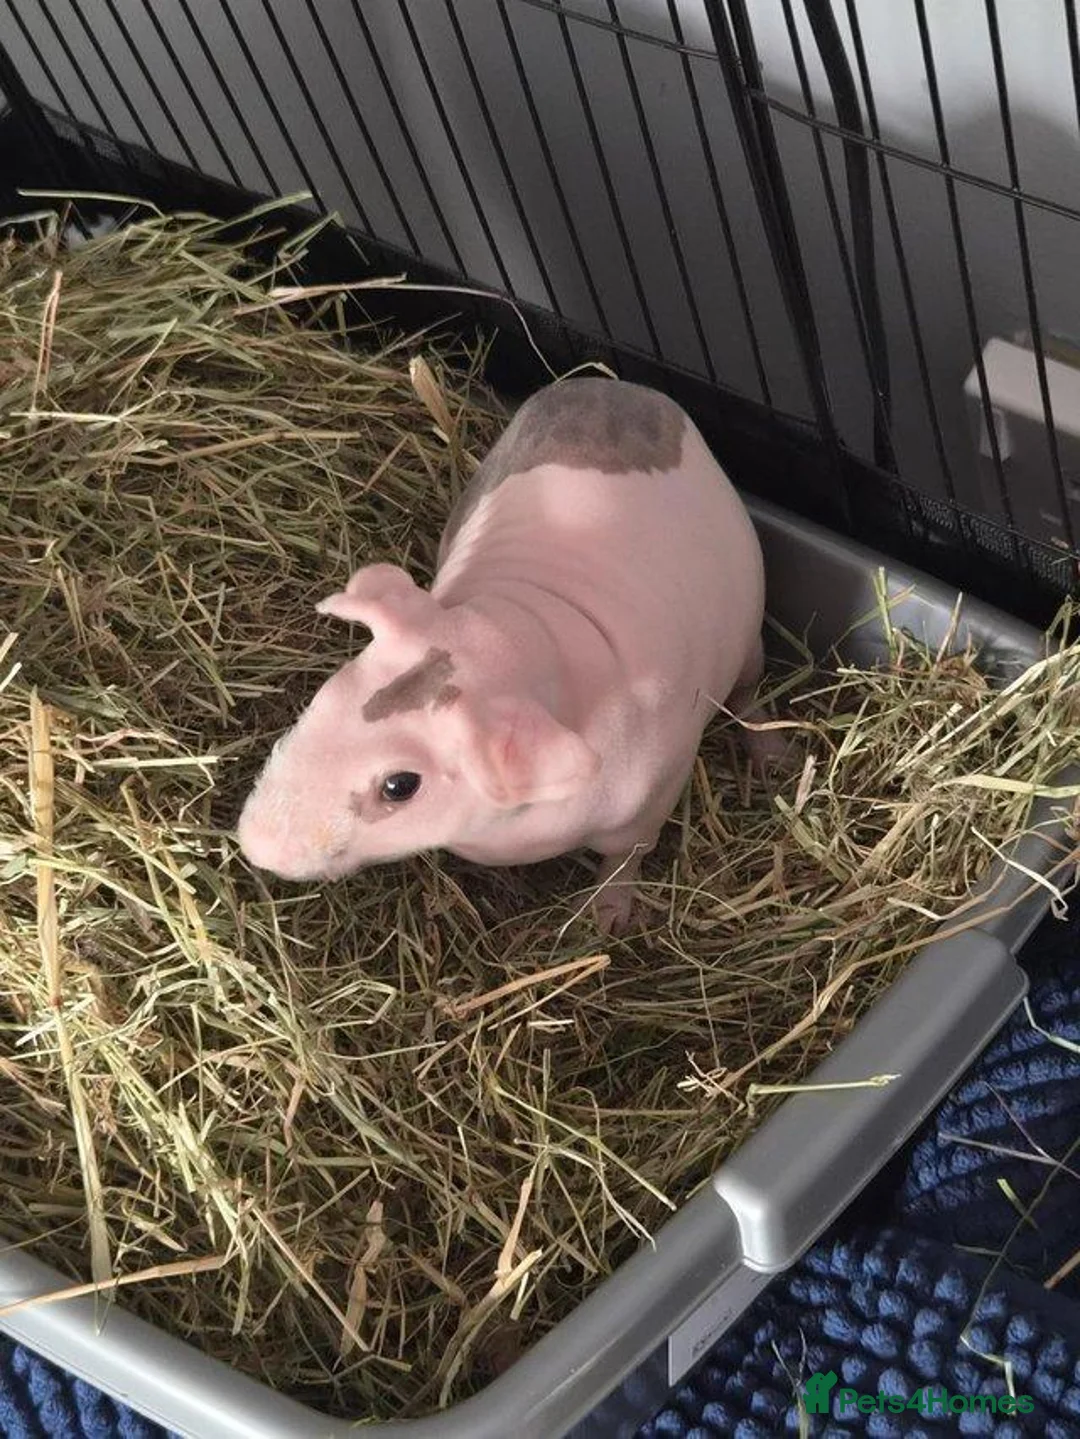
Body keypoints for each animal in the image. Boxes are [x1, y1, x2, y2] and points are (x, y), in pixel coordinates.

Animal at [236, 376, 769, 935]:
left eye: (400, 785)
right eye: (321, 700)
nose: (255, 844)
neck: (521, 632)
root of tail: (615, 385)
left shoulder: (657, 790)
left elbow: (626, 856)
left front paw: (606, 922)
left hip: (751, 630)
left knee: (749, 692)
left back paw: (774, 758)